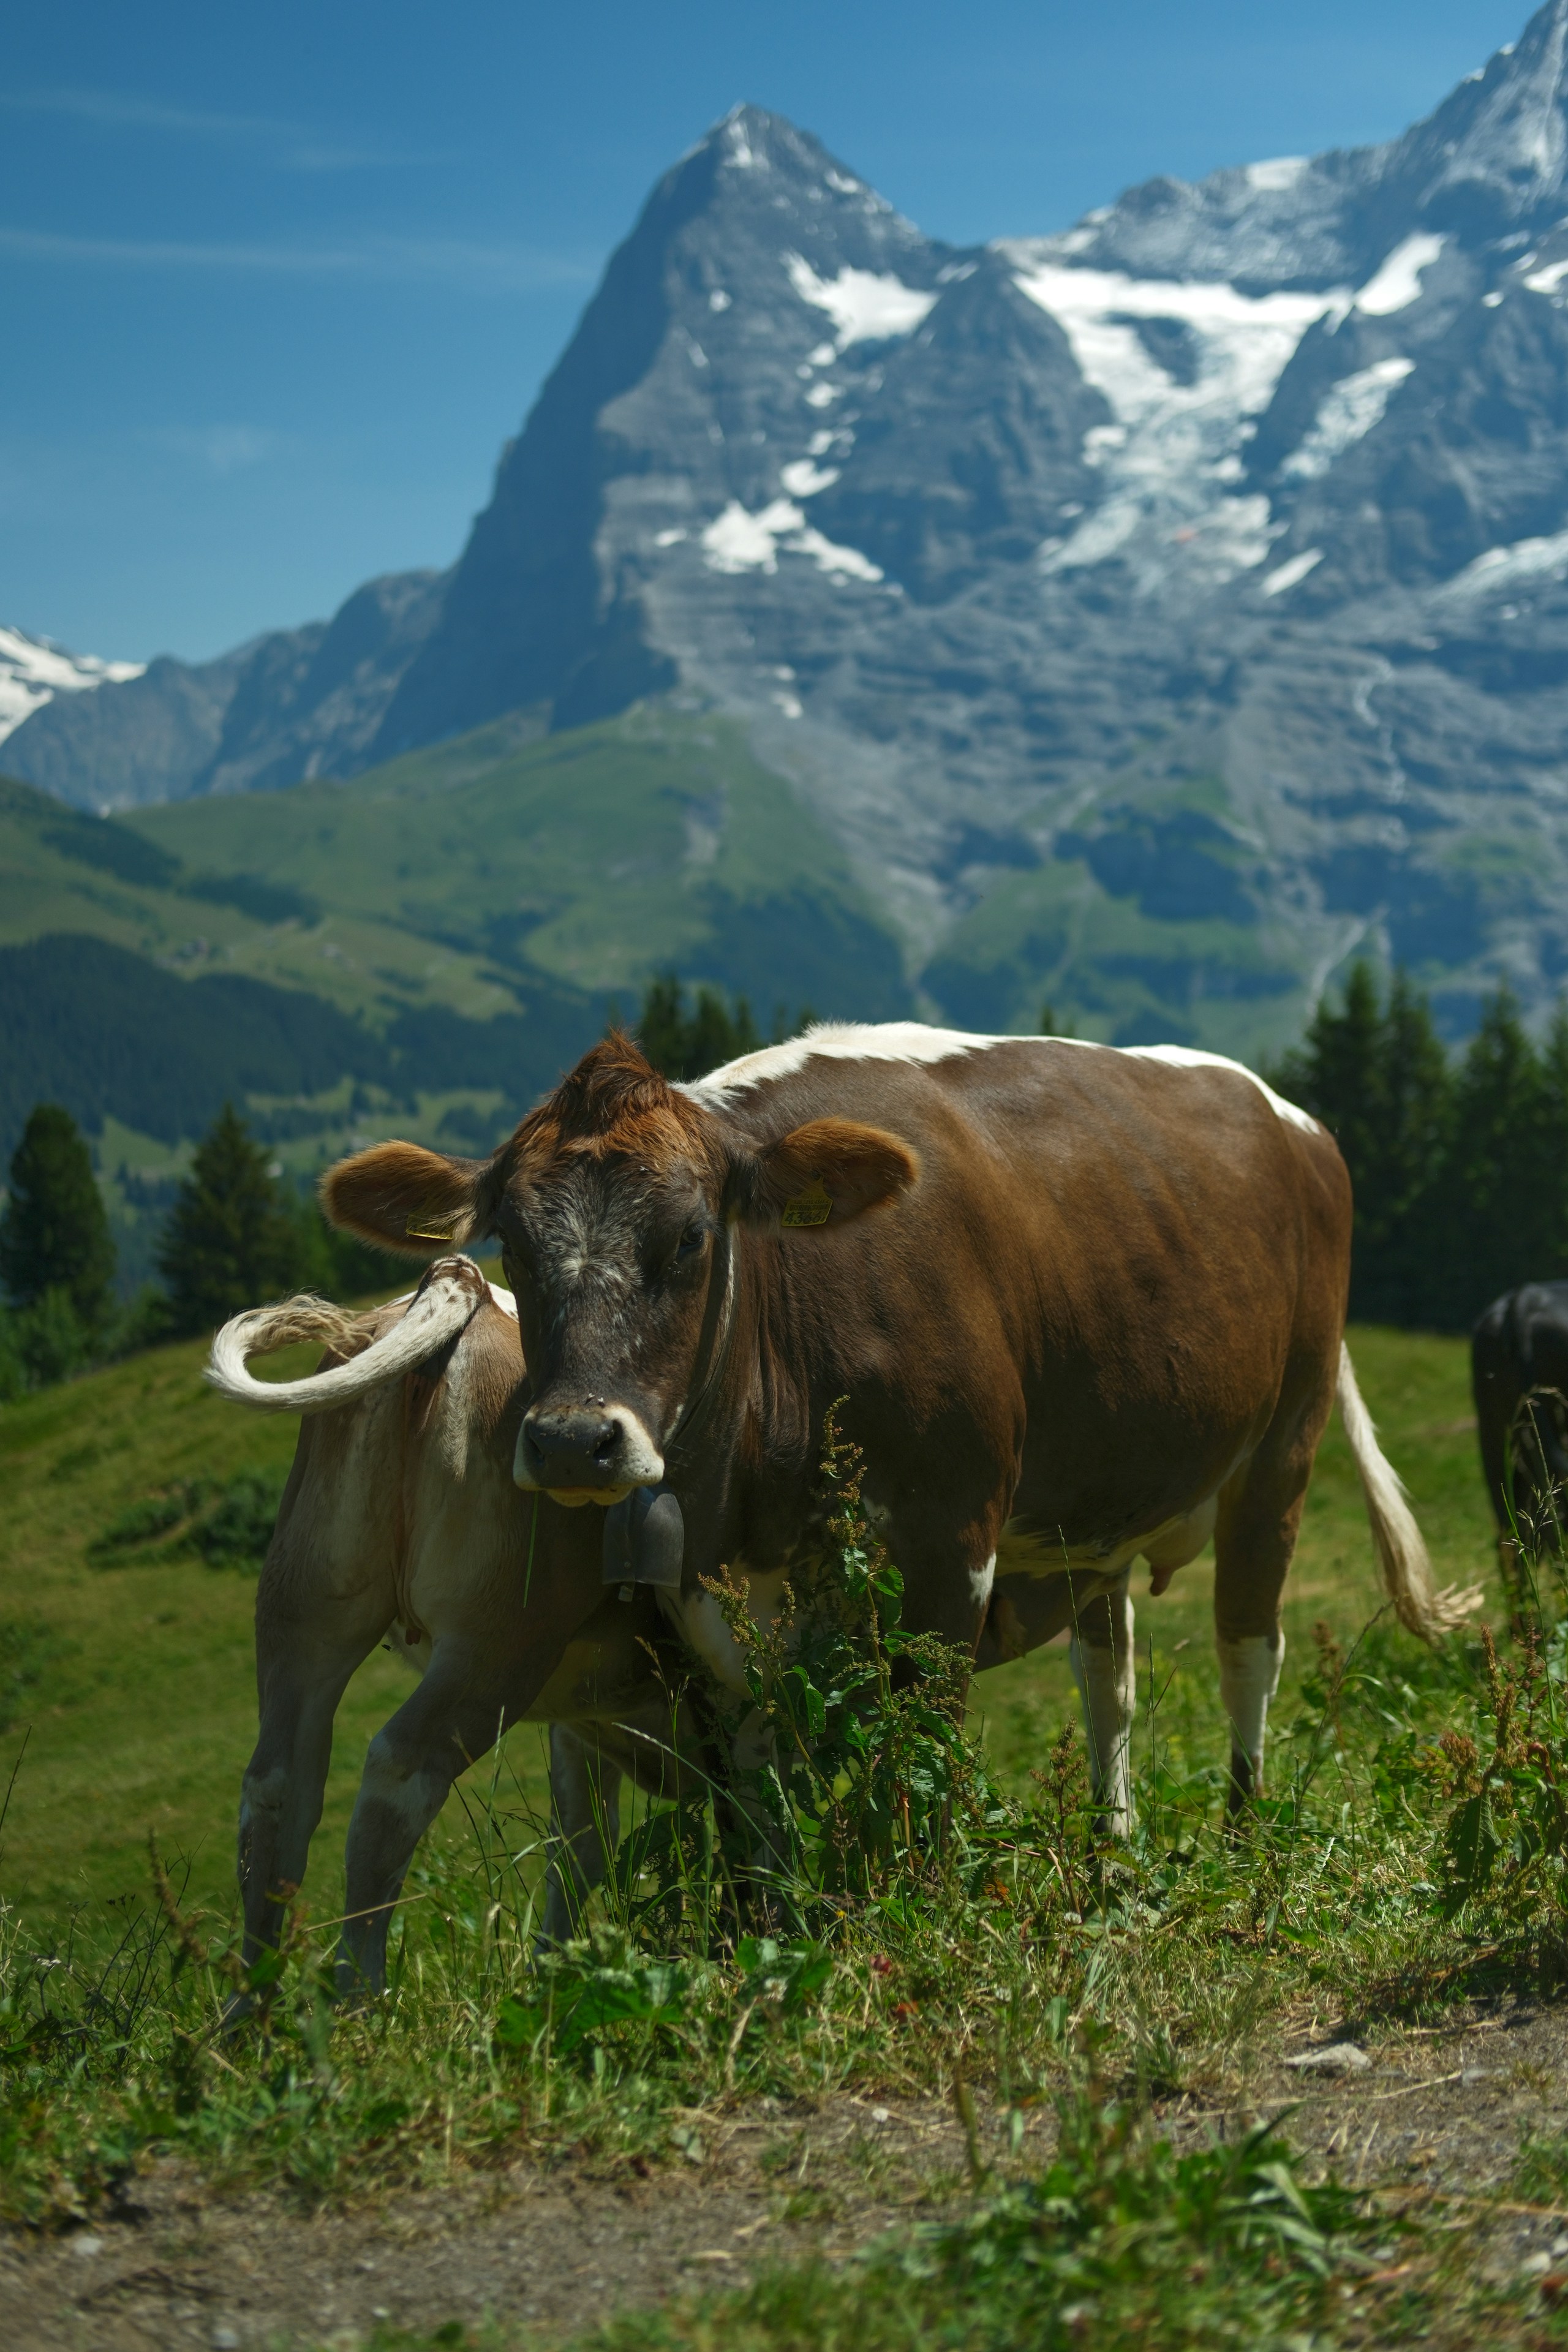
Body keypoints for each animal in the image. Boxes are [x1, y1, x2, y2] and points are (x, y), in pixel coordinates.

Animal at [208, 1255, 708, 1990]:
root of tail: (461, 1283)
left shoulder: (584, 1718)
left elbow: (581, 1846)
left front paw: (552, 1975)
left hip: (304, 1612)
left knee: (277, 1789)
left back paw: (252, 2008)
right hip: (497, 1642)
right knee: (400, 1773)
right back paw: (356, 1995)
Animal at [321, 1022, 1476, 1830]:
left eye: (691, 1237)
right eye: (511, 1243)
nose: (572, 1441)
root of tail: (1290, 1114)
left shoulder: (947, 1542)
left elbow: (920, 1752)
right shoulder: (711, 1590)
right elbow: (764, 1775)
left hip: (1282, 1445)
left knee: (1249, 1647)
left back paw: (1243, 1830)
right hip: (1096, 1504)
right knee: (1110, 1677)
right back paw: (1112, 1845)